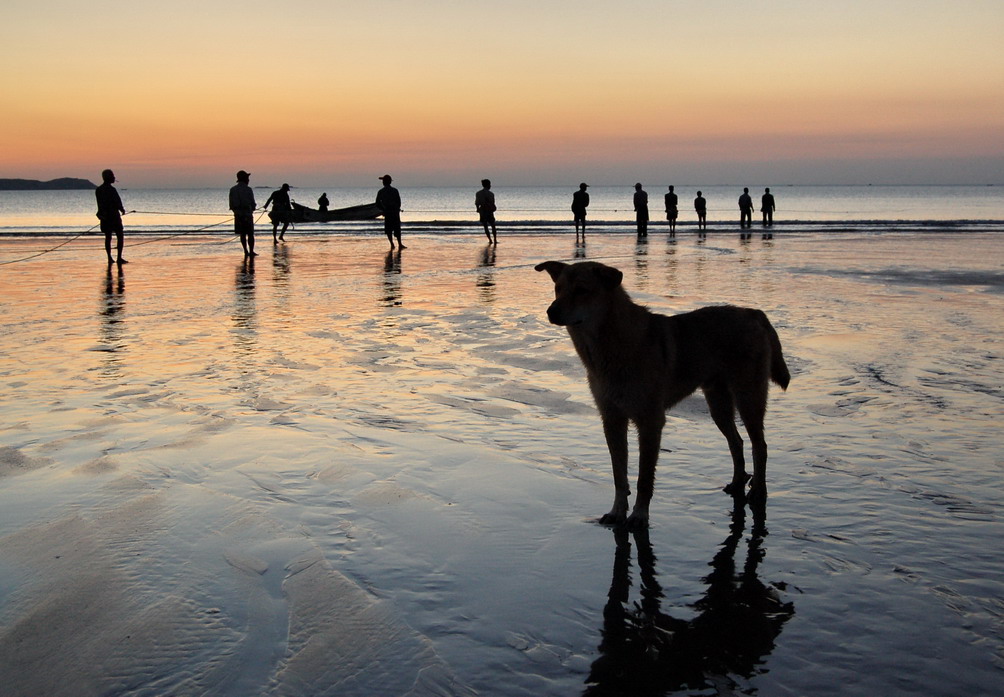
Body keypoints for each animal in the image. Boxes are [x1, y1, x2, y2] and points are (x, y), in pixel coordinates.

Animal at [538, 261, 787, 530]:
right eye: (558, 288)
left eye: (582, 290)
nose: (551, 311)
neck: (612, 345)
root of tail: (754, 313)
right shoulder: (612, 419)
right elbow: (619, 475)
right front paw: (617, 512)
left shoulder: (650, 421)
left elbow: (644, 478)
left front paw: (639, 516)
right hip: (718, 403)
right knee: (736, 441)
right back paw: (738, 482)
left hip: (748, 397)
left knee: (759, 446)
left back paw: (758, 491)